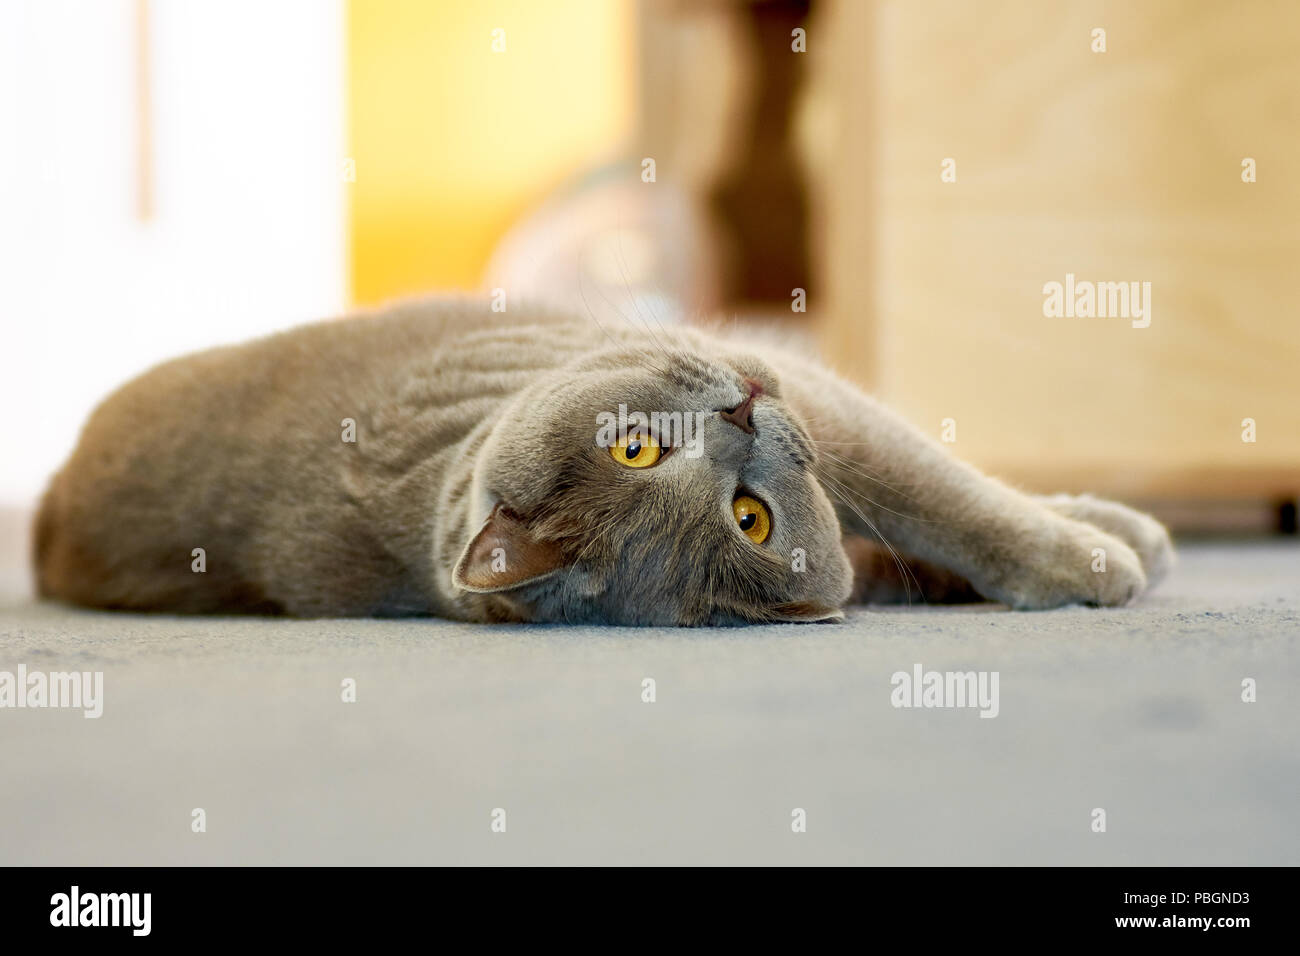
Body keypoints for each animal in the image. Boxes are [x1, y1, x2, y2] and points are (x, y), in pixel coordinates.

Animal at [32, 299, 1170, 629]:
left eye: (633, 441)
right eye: (749, 518)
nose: (742, 408)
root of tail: (43, 517)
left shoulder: (807, 393)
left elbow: (934, 489)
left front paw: (1111, 525)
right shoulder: (818, 417)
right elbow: (938, 501)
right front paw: (1093, 557)